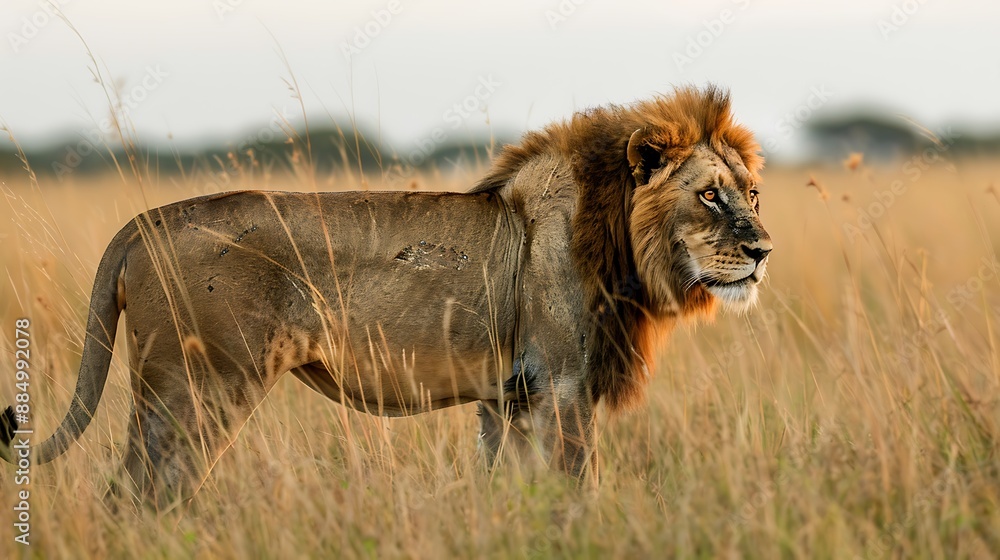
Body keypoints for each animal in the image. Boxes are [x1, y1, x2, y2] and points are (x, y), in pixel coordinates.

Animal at [1, 85, 771, 506]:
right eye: (709, 195)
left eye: (753, 193)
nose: (763, 249)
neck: (617, 238)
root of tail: (145, 221)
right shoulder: (562, 386)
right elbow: (580, 489)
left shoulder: (511, 398)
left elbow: (511, 488)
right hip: (195, 389)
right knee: (135, 495)